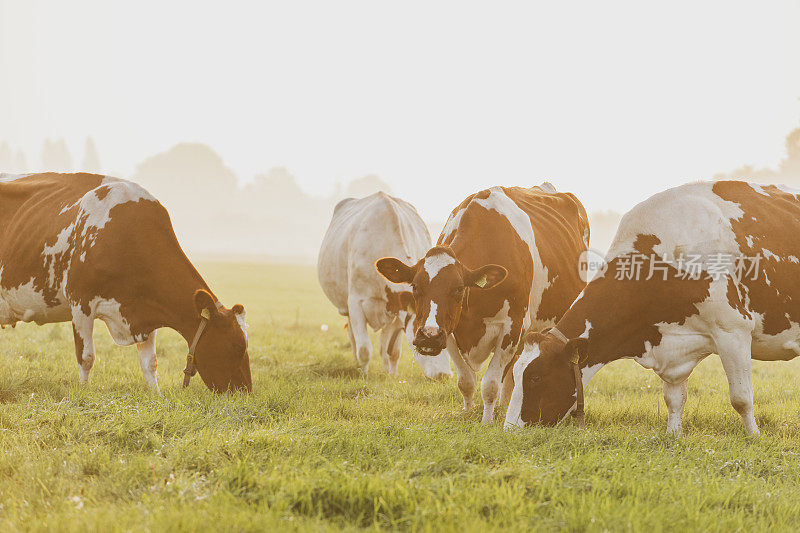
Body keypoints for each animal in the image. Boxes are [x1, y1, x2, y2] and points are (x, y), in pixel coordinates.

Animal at [0, 174, 252, 390]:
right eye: (237, 346)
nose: (246, 393)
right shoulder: (80, 302)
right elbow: (86, 357)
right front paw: (83, 391)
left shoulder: (146, 311)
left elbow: (150, 362)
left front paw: (155, 393)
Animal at [318, 191, 450, 378]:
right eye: (424, 331)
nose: (444, 375)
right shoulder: (355, 303)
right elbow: (364, 348)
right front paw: (363, 374)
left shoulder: (397, 311)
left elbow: (392, 351)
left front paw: (391, 376)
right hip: (347, 308)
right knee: (353, 339)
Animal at [378, 185, 592, 422]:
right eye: (415, 287)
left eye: (459, 289)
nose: (429, 336)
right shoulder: (450, 330)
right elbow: (466, 381)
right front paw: (468, 411)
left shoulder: (512, 327)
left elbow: (490, 384)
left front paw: (487, 421)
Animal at [504, 181, 800, 434]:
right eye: (516, 375)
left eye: (536, 377)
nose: (510, 430)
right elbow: (674, 399)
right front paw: (672, 436)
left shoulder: (732, 329)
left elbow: (741, 398)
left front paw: (754, 437)